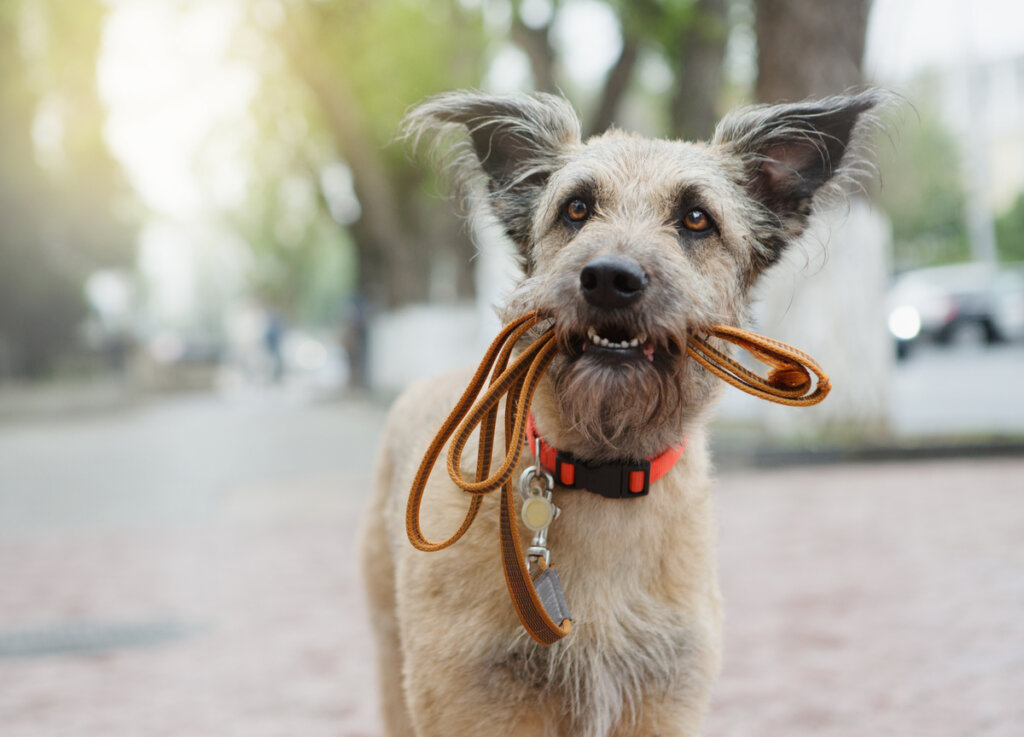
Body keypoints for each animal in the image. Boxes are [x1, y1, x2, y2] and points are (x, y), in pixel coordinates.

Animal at [358, 89, 880, 732]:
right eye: (577, 209)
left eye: (696, 218)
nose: (609, 277)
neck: (603, 472)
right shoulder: (473, 702)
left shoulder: (661, 701)